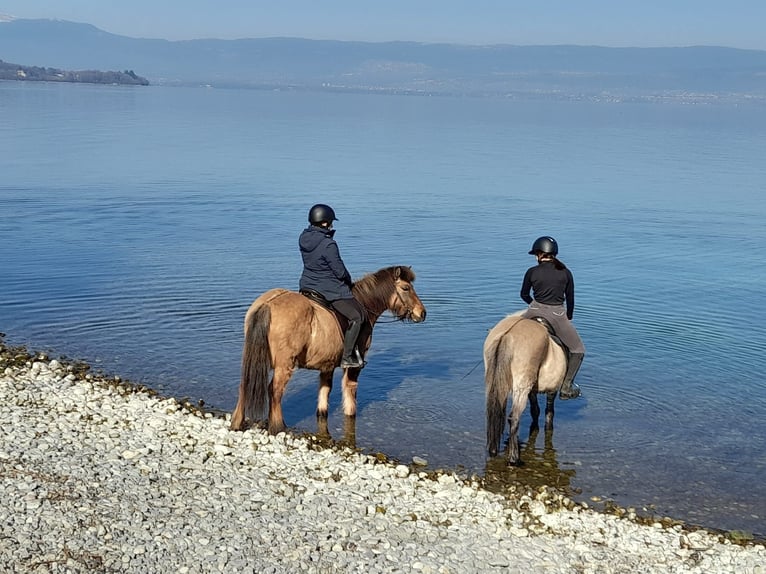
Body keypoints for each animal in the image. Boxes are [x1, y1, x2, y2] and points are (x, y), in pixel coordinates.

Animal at [231, 265, 426, 434]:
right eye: (406, 288)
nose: (422, 313)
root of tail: (268, 304)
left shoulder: (327, 364)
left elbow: (324, 394)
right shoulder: (354, 366)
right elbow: (350, 393)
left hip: (254, 359)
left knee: (244, 385)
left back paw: (237, 422)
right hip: (284, 364)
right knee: (275, 390)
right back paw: (278, 426)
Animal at [484, 311, 568, 466]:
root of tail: (507, 335)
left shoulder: (532, 391)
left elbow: (535, 410)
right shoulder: (552, 390)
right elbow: (549, 414)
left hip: (498, 384)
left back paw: (493, 450)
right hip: (521, 387)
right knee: (514, 417)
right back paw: (514, 458)